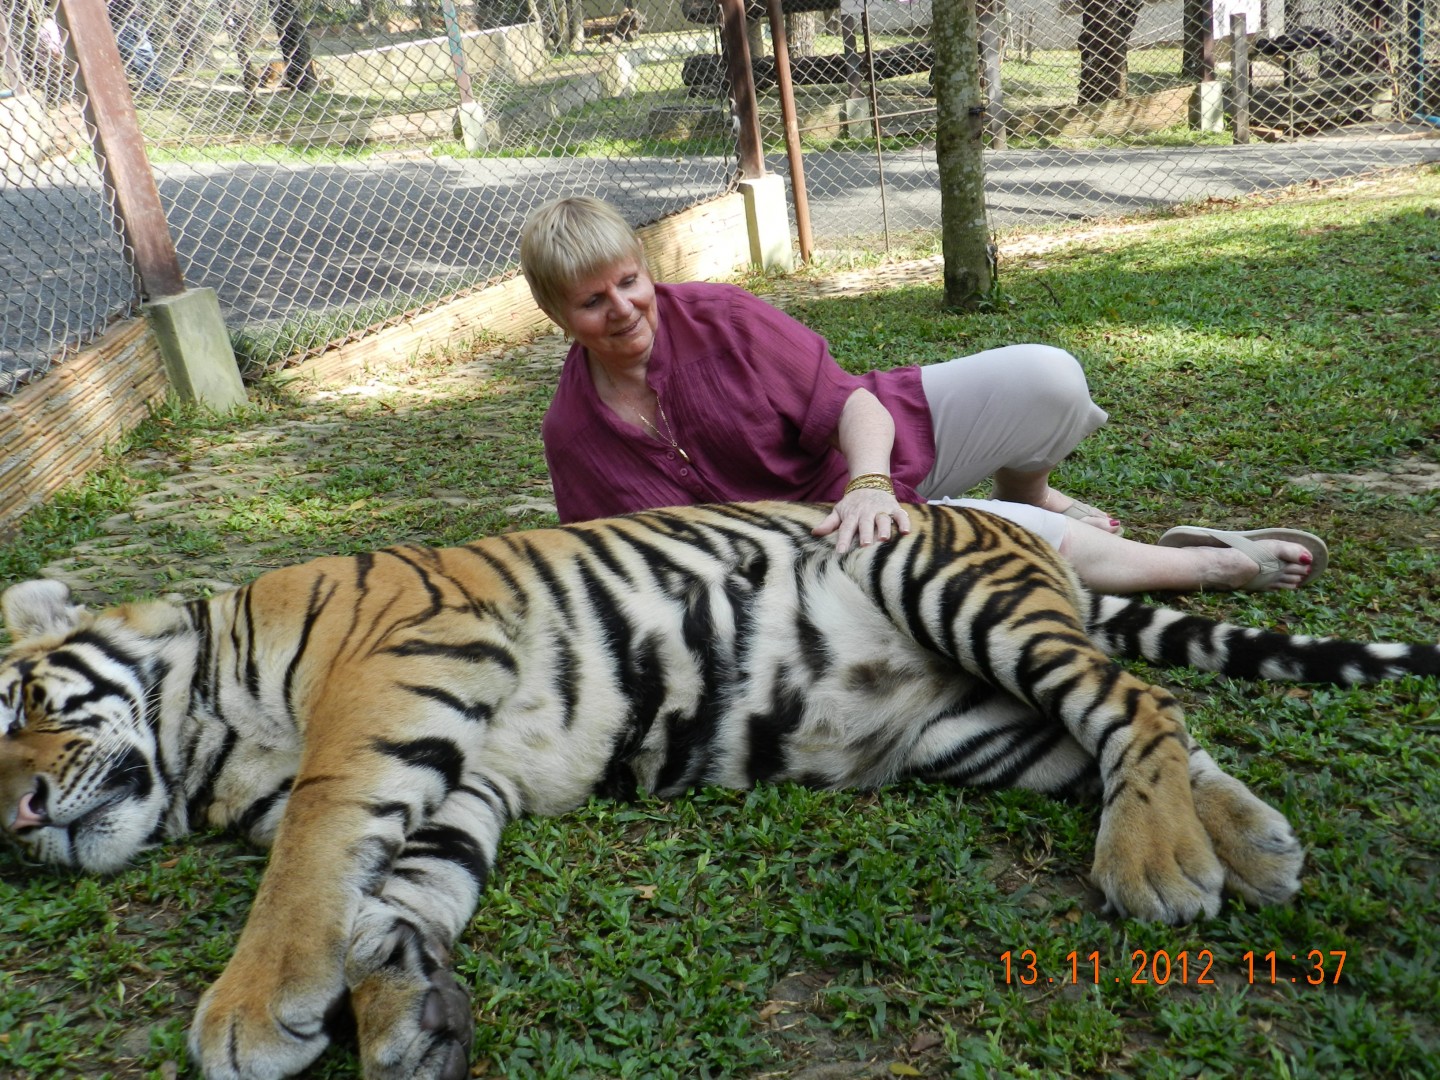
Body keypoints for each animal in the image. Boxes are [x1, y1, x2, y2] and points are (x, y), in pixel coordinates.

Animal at [2, 501, 1437, 1080]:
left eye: (14, 708)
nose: (14, 824)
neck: (201, 742)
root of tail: (1013, 531)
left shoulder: (403, 668)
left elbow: (312, 850)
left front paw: (248, 1012)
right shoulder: (464, 786)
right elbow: (400, 893)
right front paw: (404, 1010)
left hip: (953, 592)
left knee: (1141, 703)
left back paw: (1165, 867)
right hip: (977, 729)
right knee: (1124, 729)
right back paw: (1248, 844)